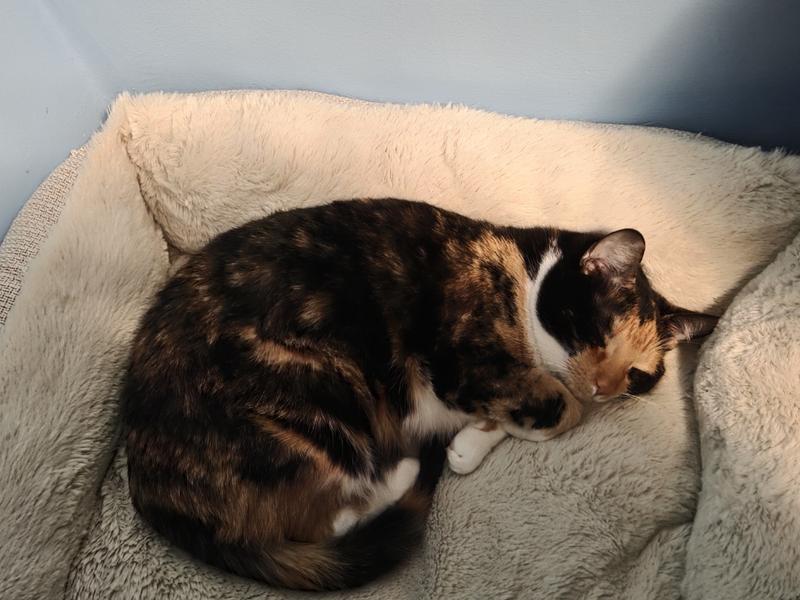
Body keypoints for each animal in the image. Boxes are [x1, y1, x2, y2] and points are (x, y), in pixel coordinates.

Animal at [123, 198, 716, 590]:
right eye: (599, 332)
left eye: (639, 373)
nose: (605, 388)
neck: (525, 284)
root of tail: (152, 492)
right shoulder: (463, 363)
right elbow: (558, 407)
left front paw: (471, 443)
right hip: (320, 397)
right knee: (320, 518)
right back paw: (405, 469)